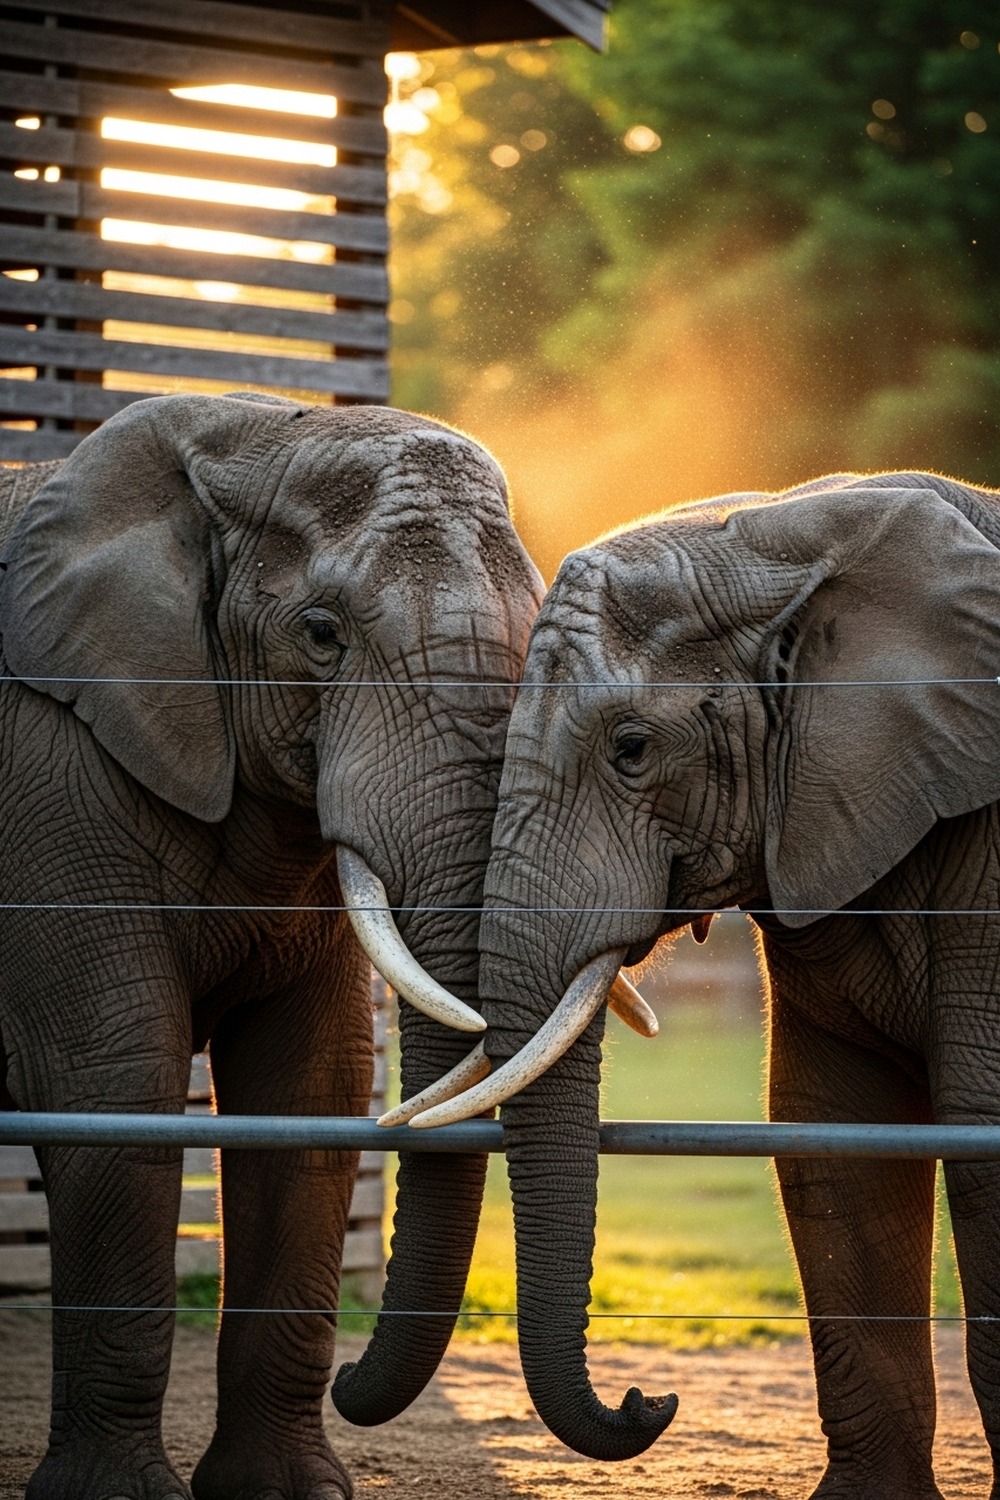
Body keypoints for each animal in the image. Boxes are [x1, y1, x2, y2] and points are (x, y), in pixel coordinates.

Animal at [0, 392, 542, 1500]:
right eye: (321, 634)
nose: (353, 1386)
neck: (241, 437)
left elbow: (312, 1083)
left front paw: (285, 1493)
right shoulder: (47, 767)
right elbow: (110, 1072)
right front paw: (115, 1499)